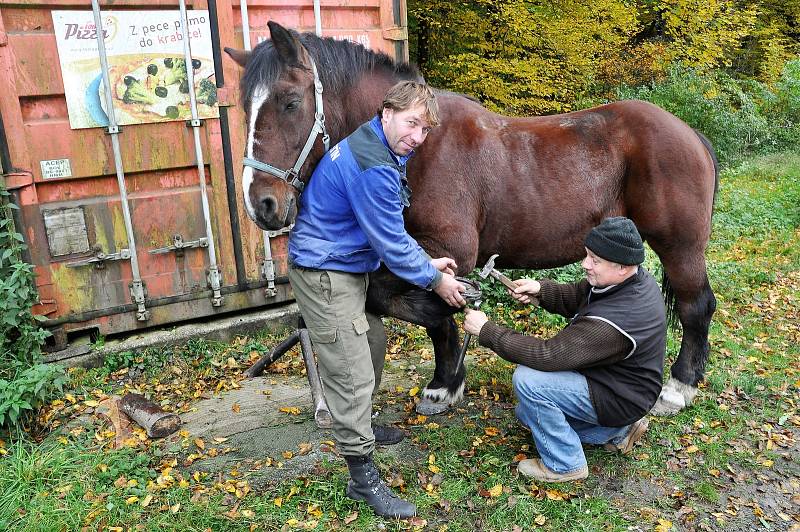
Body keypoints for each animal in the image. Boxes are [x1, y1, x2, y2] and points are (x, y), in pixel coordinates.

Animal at [225, 20, 720, 418]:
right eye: (245, 108)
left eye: (290, 101)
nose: (260, 204)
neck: (422, 148)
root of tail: (690, 133)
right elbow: (404, 303)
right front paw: (448, 378)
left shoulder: (450, 250)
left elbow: (424, 307)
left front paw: (445, 380)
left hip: (679, 245)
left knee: (696, 306)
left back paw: (677, 389)